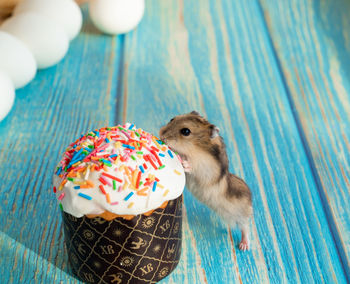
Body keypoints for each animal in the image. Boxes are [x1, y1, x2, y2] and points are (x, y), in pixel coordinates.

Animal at [160, 111, 253, 251]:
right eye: (172, 119)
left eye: (186, 131)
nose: (161, 135)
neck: (194, 149)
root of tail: (250, 200)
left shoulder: (206, 169)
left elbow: (193, 166)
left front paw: (184, 162)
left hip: (239, 214)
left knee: (246, 227)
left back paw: (244, 246)